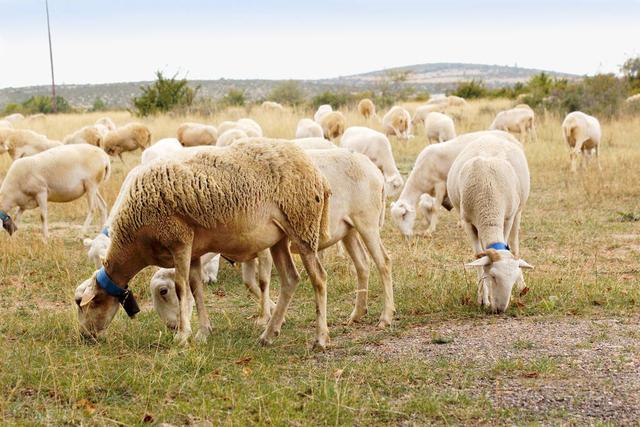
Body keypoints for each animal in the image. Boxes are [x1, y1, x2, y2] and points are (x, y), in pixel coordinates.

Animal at [76, 141, 336, 352]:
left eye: (86, 303)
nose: (85, 336)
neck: (135, 240)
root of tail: (319, 175)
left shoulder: (179, 240)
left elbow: (181, 288)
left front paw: (182, 336)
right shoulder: (193, 250)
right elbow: (196, 288)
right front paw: (202, 332)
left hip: (303, 226)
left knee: (319, 278)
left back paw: (321, 339)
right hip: (280, 238)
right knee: (291, 279)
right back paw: (268, 335)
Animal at [390, 130, 520, 237]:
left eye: (403, 215)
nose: (406, 236)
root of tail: (512, 138)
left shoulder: (440, 185)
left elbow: (435, 208)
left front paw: (430, 229)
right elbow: (426, 206)